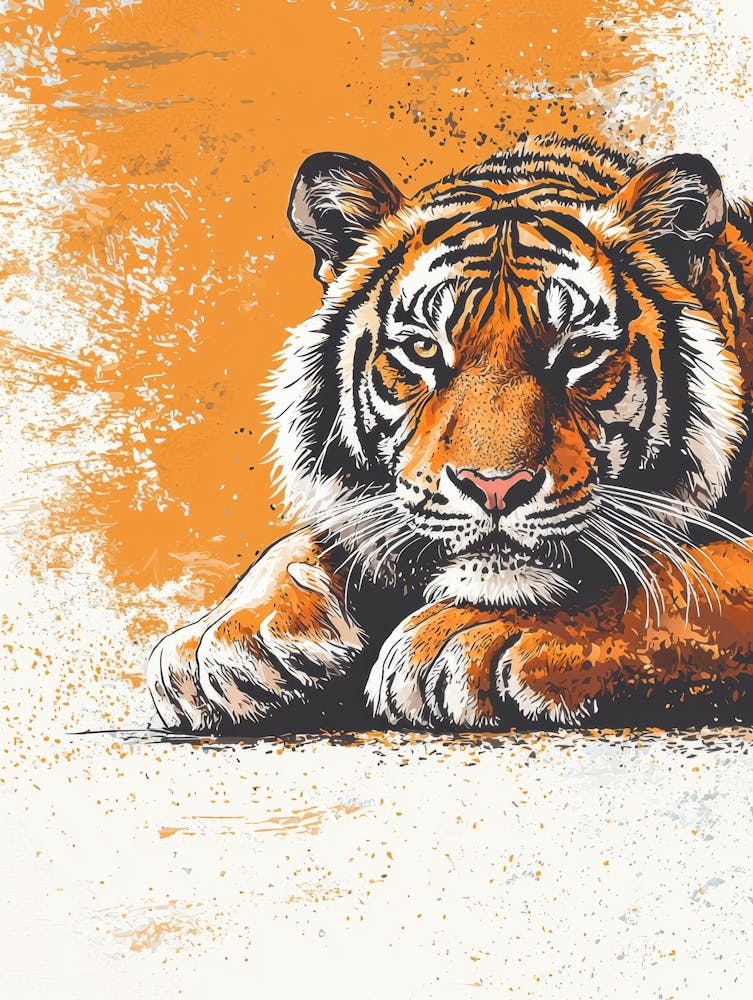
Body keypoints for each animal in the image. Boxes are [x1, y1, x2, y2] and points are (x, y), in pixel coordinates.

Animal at [147, 131, 753, 734]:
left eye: (578, 350)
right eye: (423, 348)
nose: (495, 488)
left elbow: (689, 572)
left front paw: (469, 635)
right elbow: (305, 540)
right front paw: (219, 640)